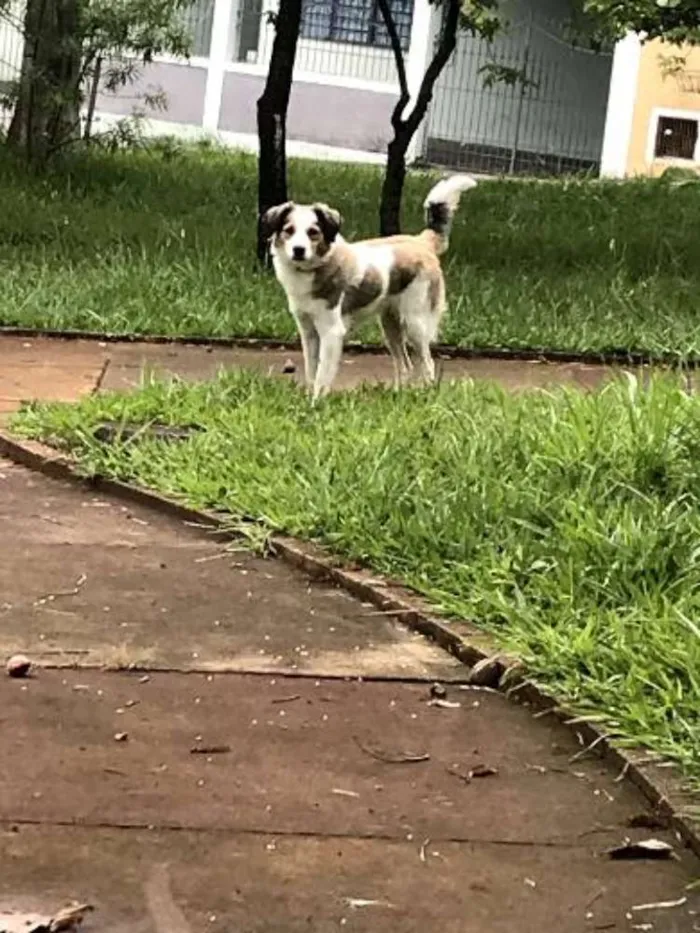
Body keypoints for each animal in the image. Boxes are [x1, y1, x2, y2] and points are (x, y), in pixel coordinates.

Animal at [262, 173, 476, 398]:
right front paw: (308, 398)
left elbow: (322, 376)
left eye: (313, 232)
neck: (317, 266)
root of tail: (421, 241)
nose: (298, 250)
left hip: (415, 324)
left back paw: (427, 395)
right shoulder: (308, 331)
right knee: (405, 365)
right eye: (289, 230)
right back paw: (397, 395)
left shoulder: (332, 332)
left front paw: (317, 401)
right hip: (390, 326)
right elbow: (312, 372)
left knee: (427, 364)